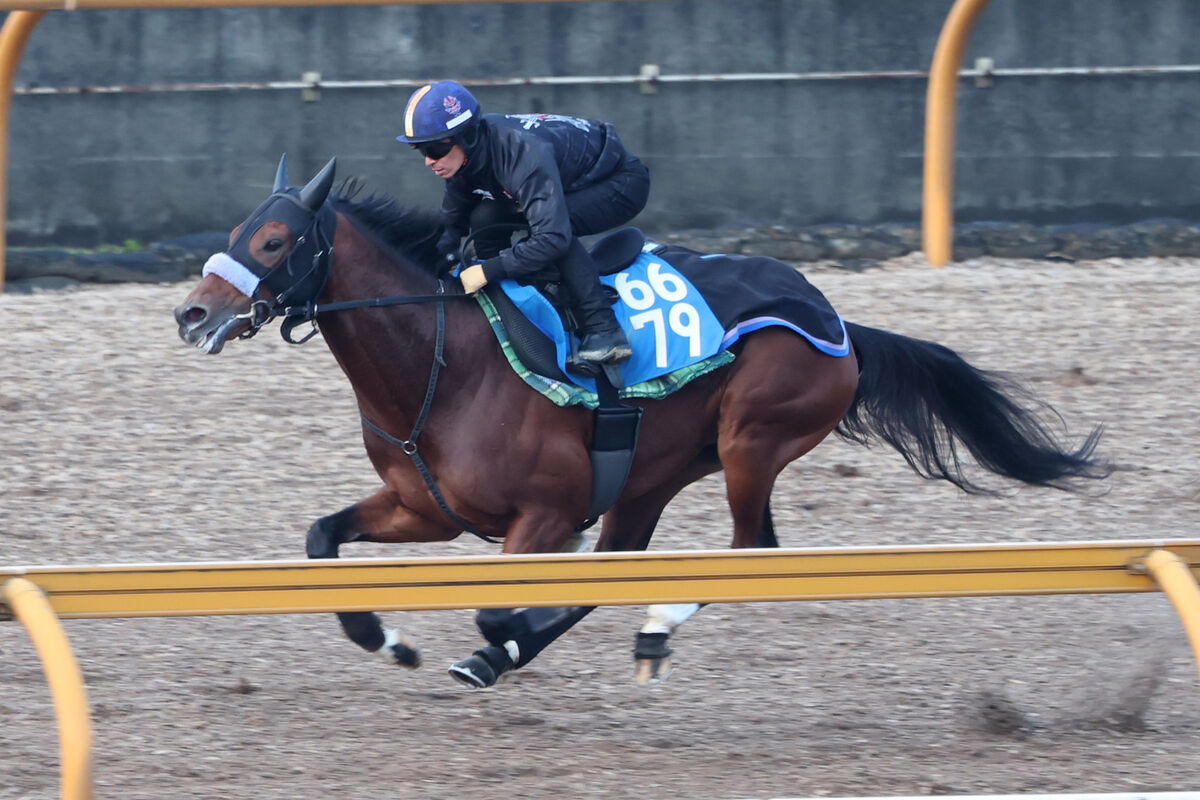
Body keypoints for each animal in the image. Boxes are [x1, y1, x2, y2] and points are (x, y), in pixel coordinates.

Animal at [174, 155, 1108, 690]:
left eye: (273, 242)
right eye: (237, 230)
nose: (191, 312)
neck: (445, 362)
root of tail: (837, 318)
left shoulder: (544, 518)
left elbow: (497, 607)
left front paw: (496, 641)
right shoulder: (426, 510)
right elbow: (321, 539)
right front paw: (391, 640)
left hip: (750, 438)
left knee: (749, 550)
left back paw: (643, 629)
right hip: (654, 473)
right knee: (632, 558)